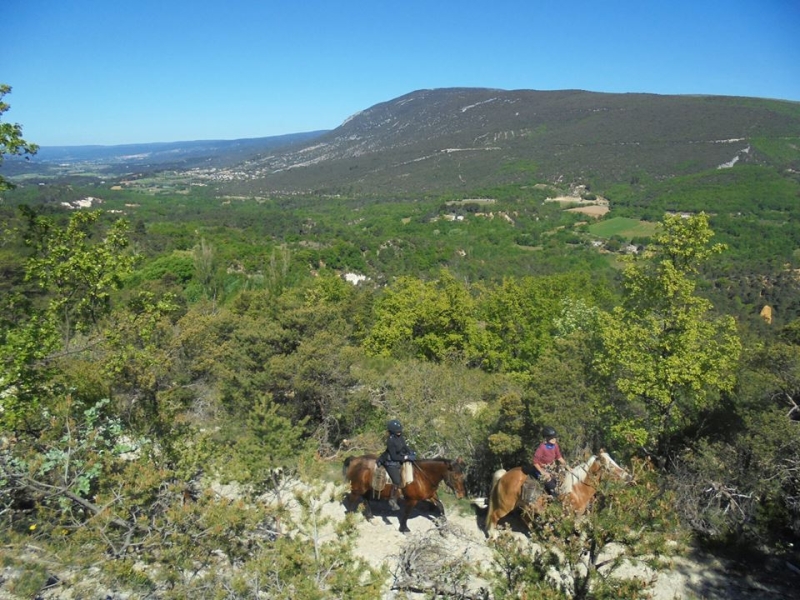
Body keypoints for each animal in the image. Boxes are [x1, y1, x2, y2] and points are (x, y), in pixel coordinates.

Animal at [482, 450, 632, 536]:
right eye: (609, 465)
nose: (628, 476)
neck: (578, 489)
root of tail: (504, 475)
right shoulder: (570, 516)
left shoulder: (578, 516)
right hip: (505, 506)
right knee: (494, 517)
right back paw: (492, 536)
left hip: (525, 507)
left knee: (526, 519)